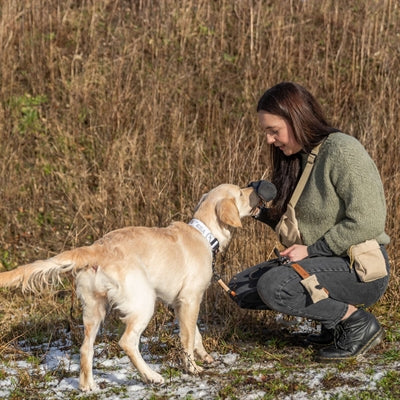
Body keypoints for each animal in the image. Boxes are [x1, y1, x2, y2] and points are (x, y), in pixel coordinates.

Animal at [0, 184, 260, 390]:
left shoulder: (180, 303)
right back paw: (152, 376)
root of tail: (96, 248)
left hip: (94, 309)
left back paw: (88, 386)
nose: (255, 189)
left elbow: (195, 333)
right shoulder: (190, 299)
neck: (204, 233)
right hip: (143, 302)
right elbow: (187, 338)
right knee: (127, 342)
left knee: (85, 349)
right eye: (240, 192)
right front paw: (193, 368)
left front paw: (205, 357)